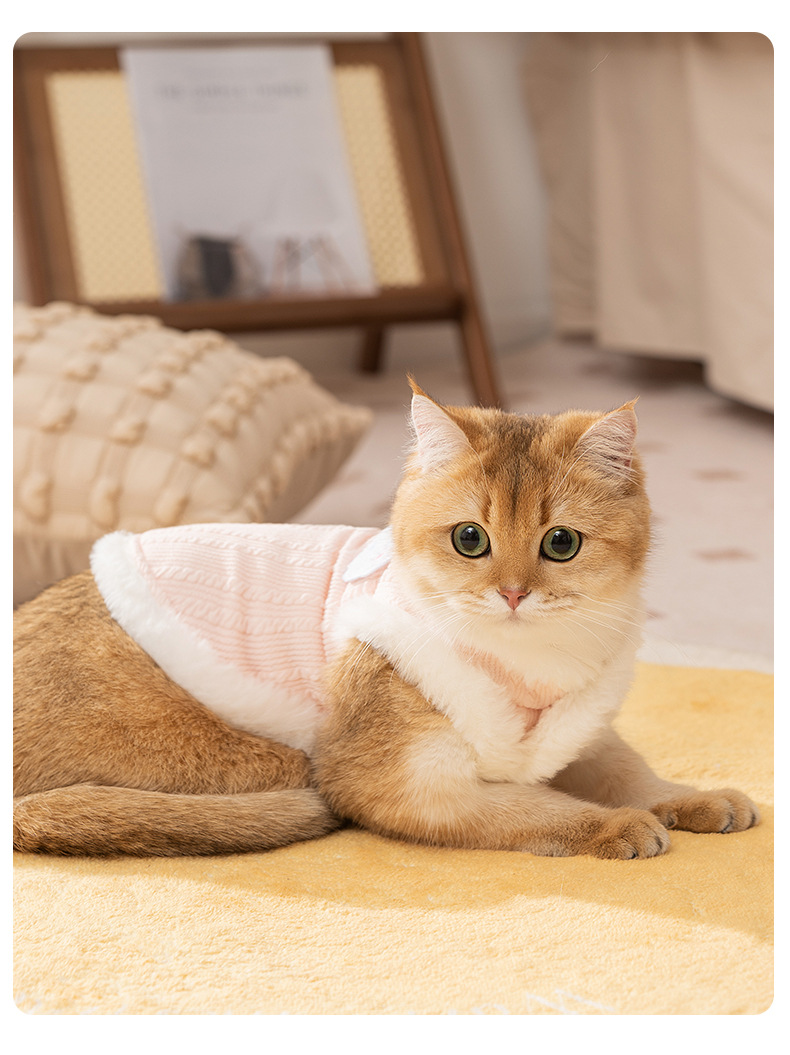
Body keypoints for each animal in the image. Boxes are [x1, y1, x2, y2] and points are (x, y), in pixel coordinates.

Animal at [13, 379, 759, 858]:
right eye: (470, 539)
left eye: (561, 544)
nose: (514, 593)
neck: (528, 663)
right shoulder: (403, 783)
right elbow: (533, 806)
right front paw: (613, 826)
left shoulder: (574, 729)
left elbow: (627, 769)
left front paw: (694, 798)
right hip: (265, 754)